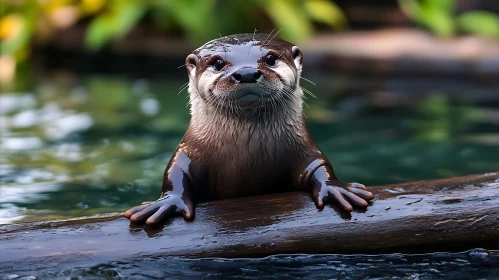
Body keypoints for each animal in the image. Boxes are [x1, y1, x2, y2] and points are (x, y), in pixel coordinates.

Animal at [125, 33, 376, 225]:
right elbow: (176, 171)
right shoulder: (189, 151)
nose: (246, 73)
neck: (246, 153)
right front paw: (169, 202)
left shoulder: (305, 148)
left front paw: (334, 188)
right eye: (218, 63)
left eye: (271, 58)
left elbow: (318, 166)